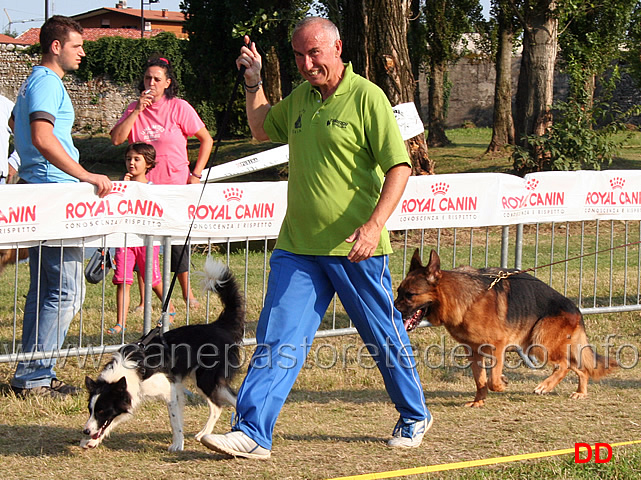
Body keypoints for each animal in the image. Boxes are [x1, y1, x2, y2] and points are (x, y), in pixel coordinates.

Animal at [82, 258, 245, 450]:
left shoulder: (170, 390)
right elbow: (112, 421)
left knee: (223, 404)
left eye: (101, 410)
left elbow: (175, 421)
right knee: (228, 402)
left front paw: (178, 444)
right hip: (207, 381)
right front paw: (93, 440)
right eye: (90, 410)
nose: (85, 431)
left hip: (206, 380)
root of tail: (218, 325)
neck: (134, 369)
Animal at [396, 249, 616, 406]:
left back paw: (545, 386)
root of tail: (576, 309)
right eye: (398, 291)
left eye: (410, 295)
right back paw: (581, 392)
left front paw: (501, 384)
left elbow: (492, 380)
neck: (464, 299)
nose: (393, 309)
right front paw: (479, 402)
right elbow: (480, 380)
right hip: (534, 345)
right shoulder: (473, 351)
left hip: (539, 344)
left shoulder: (498, 346)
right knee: (579, 367)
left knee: (563, 365)